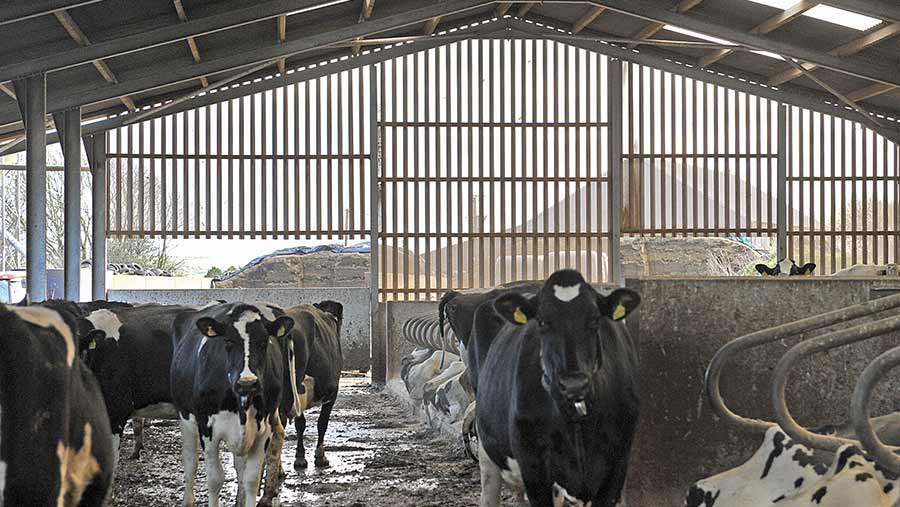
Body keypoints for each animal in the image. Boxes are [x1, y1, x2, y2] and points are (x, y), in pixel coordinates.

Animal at [171, 302, 294, 507]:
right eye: (228, 342)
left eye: (263, 342)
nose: (247, 383)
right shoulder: (207, 428)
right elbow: (215, 479)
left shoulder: (263, 429)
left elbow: (251, 479)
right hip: (186, 418)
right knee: (190, 462)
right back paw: (188, 500)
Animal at [472, 272, 640, 506]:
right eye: (542, 321)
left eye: (594, 319)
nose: (573, 384)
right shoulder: (533, 467)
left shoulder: (618, 464)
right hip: (487, 450)